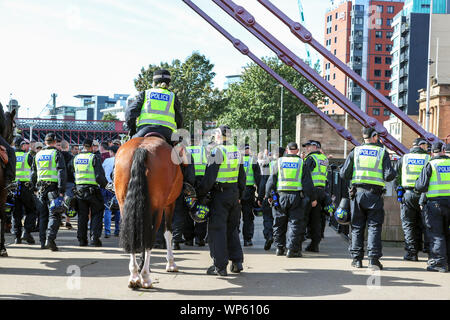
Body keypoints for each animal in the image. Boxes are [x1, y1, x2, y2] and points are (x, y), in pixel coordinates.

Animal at [115, 136, 184, 288]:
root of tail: (142, 148)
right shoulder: (170, 204)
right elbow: (168, 232)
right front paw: (171, 263)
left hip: (123, 205)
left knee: (132, 234)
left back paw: (135, 275)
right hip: (158, 209)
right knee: (150, 239)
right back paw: (145, 276)